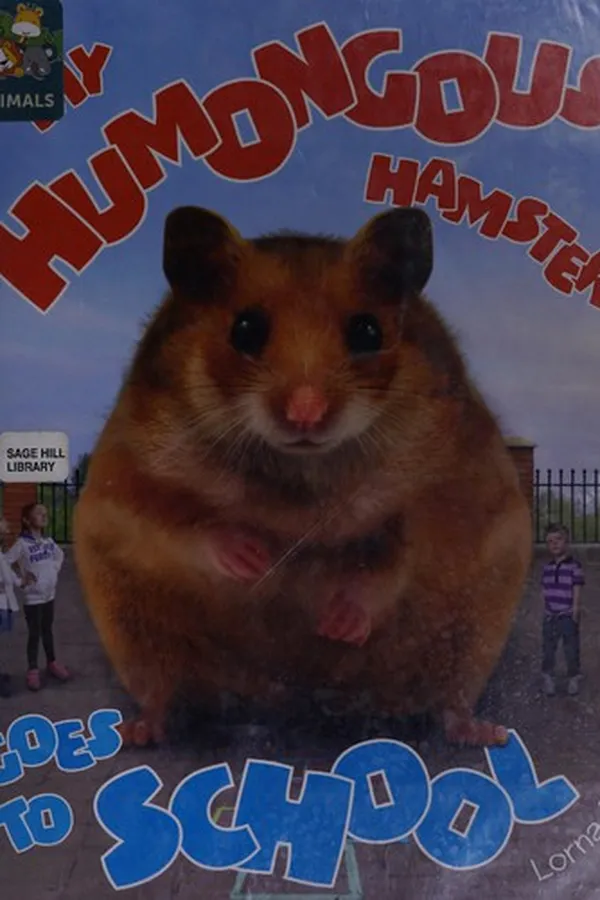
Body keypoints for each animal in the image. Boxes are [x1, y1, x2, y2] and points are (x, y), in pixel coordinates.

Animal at [73, 205, 532, 749]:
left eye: (368, 332)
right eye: (245, 330)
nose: (306, 414)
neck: (299, 478)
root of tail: (290, 699)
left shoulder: (443, 495)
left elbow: (392, 564)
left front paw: (338, 624)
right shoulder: (127, 480)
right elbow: (183, 521)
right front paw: (253, 561)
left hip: (472, 632)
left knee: (451, 699)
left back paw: (486, 732)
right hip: (134, 626)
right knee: (161, 691)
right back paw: (138, 730)